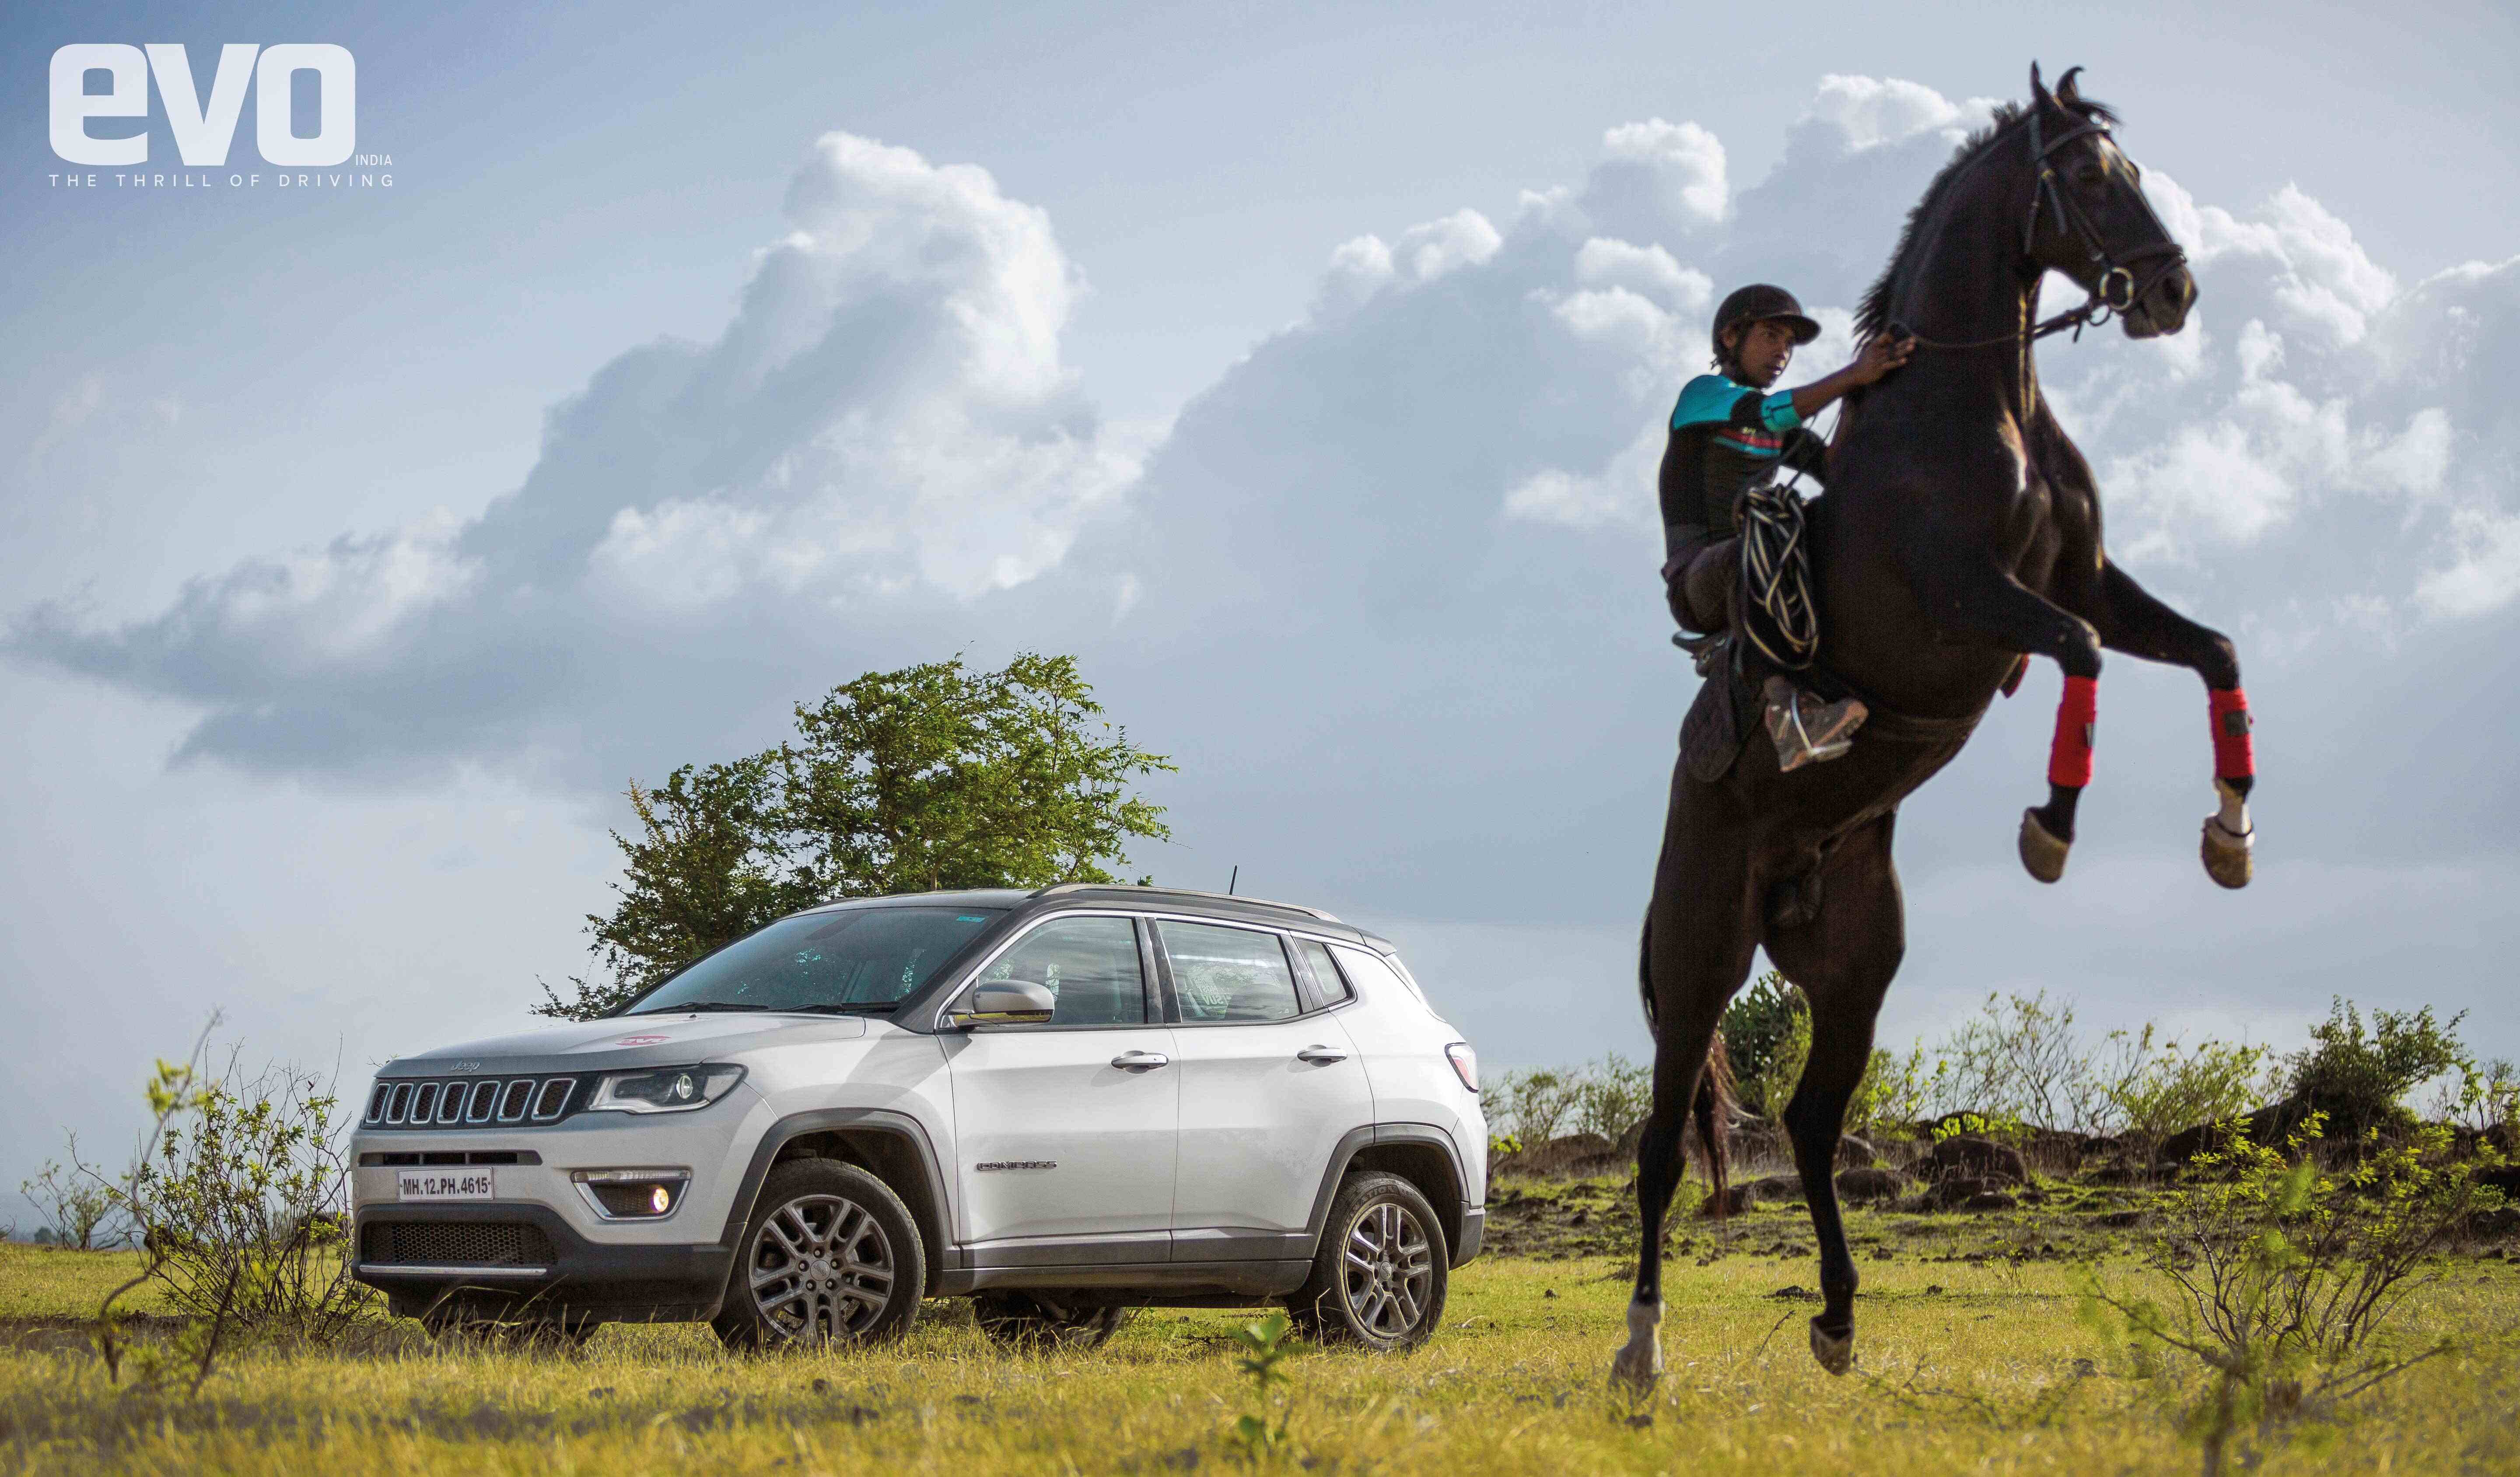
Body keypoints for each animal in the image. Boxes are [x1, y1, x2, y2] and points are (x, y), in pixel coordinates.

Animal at [1613, 66, 2247, 1381]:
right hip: (1700, 956)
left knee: (1809, 1120)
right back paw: (1640, 1352)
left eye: (2132, 166)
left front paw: (2230, 835)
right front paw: (2051, 826)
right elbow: (2081, 653)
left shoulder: (2089, 578)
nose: (2172, 290)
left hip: (1855, 962)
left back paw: (1839, 1316)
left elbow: (2208, 648)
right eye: (2091, 175)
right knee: (1658, 1145)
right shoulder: (1970, 601)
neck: (1970, 406)